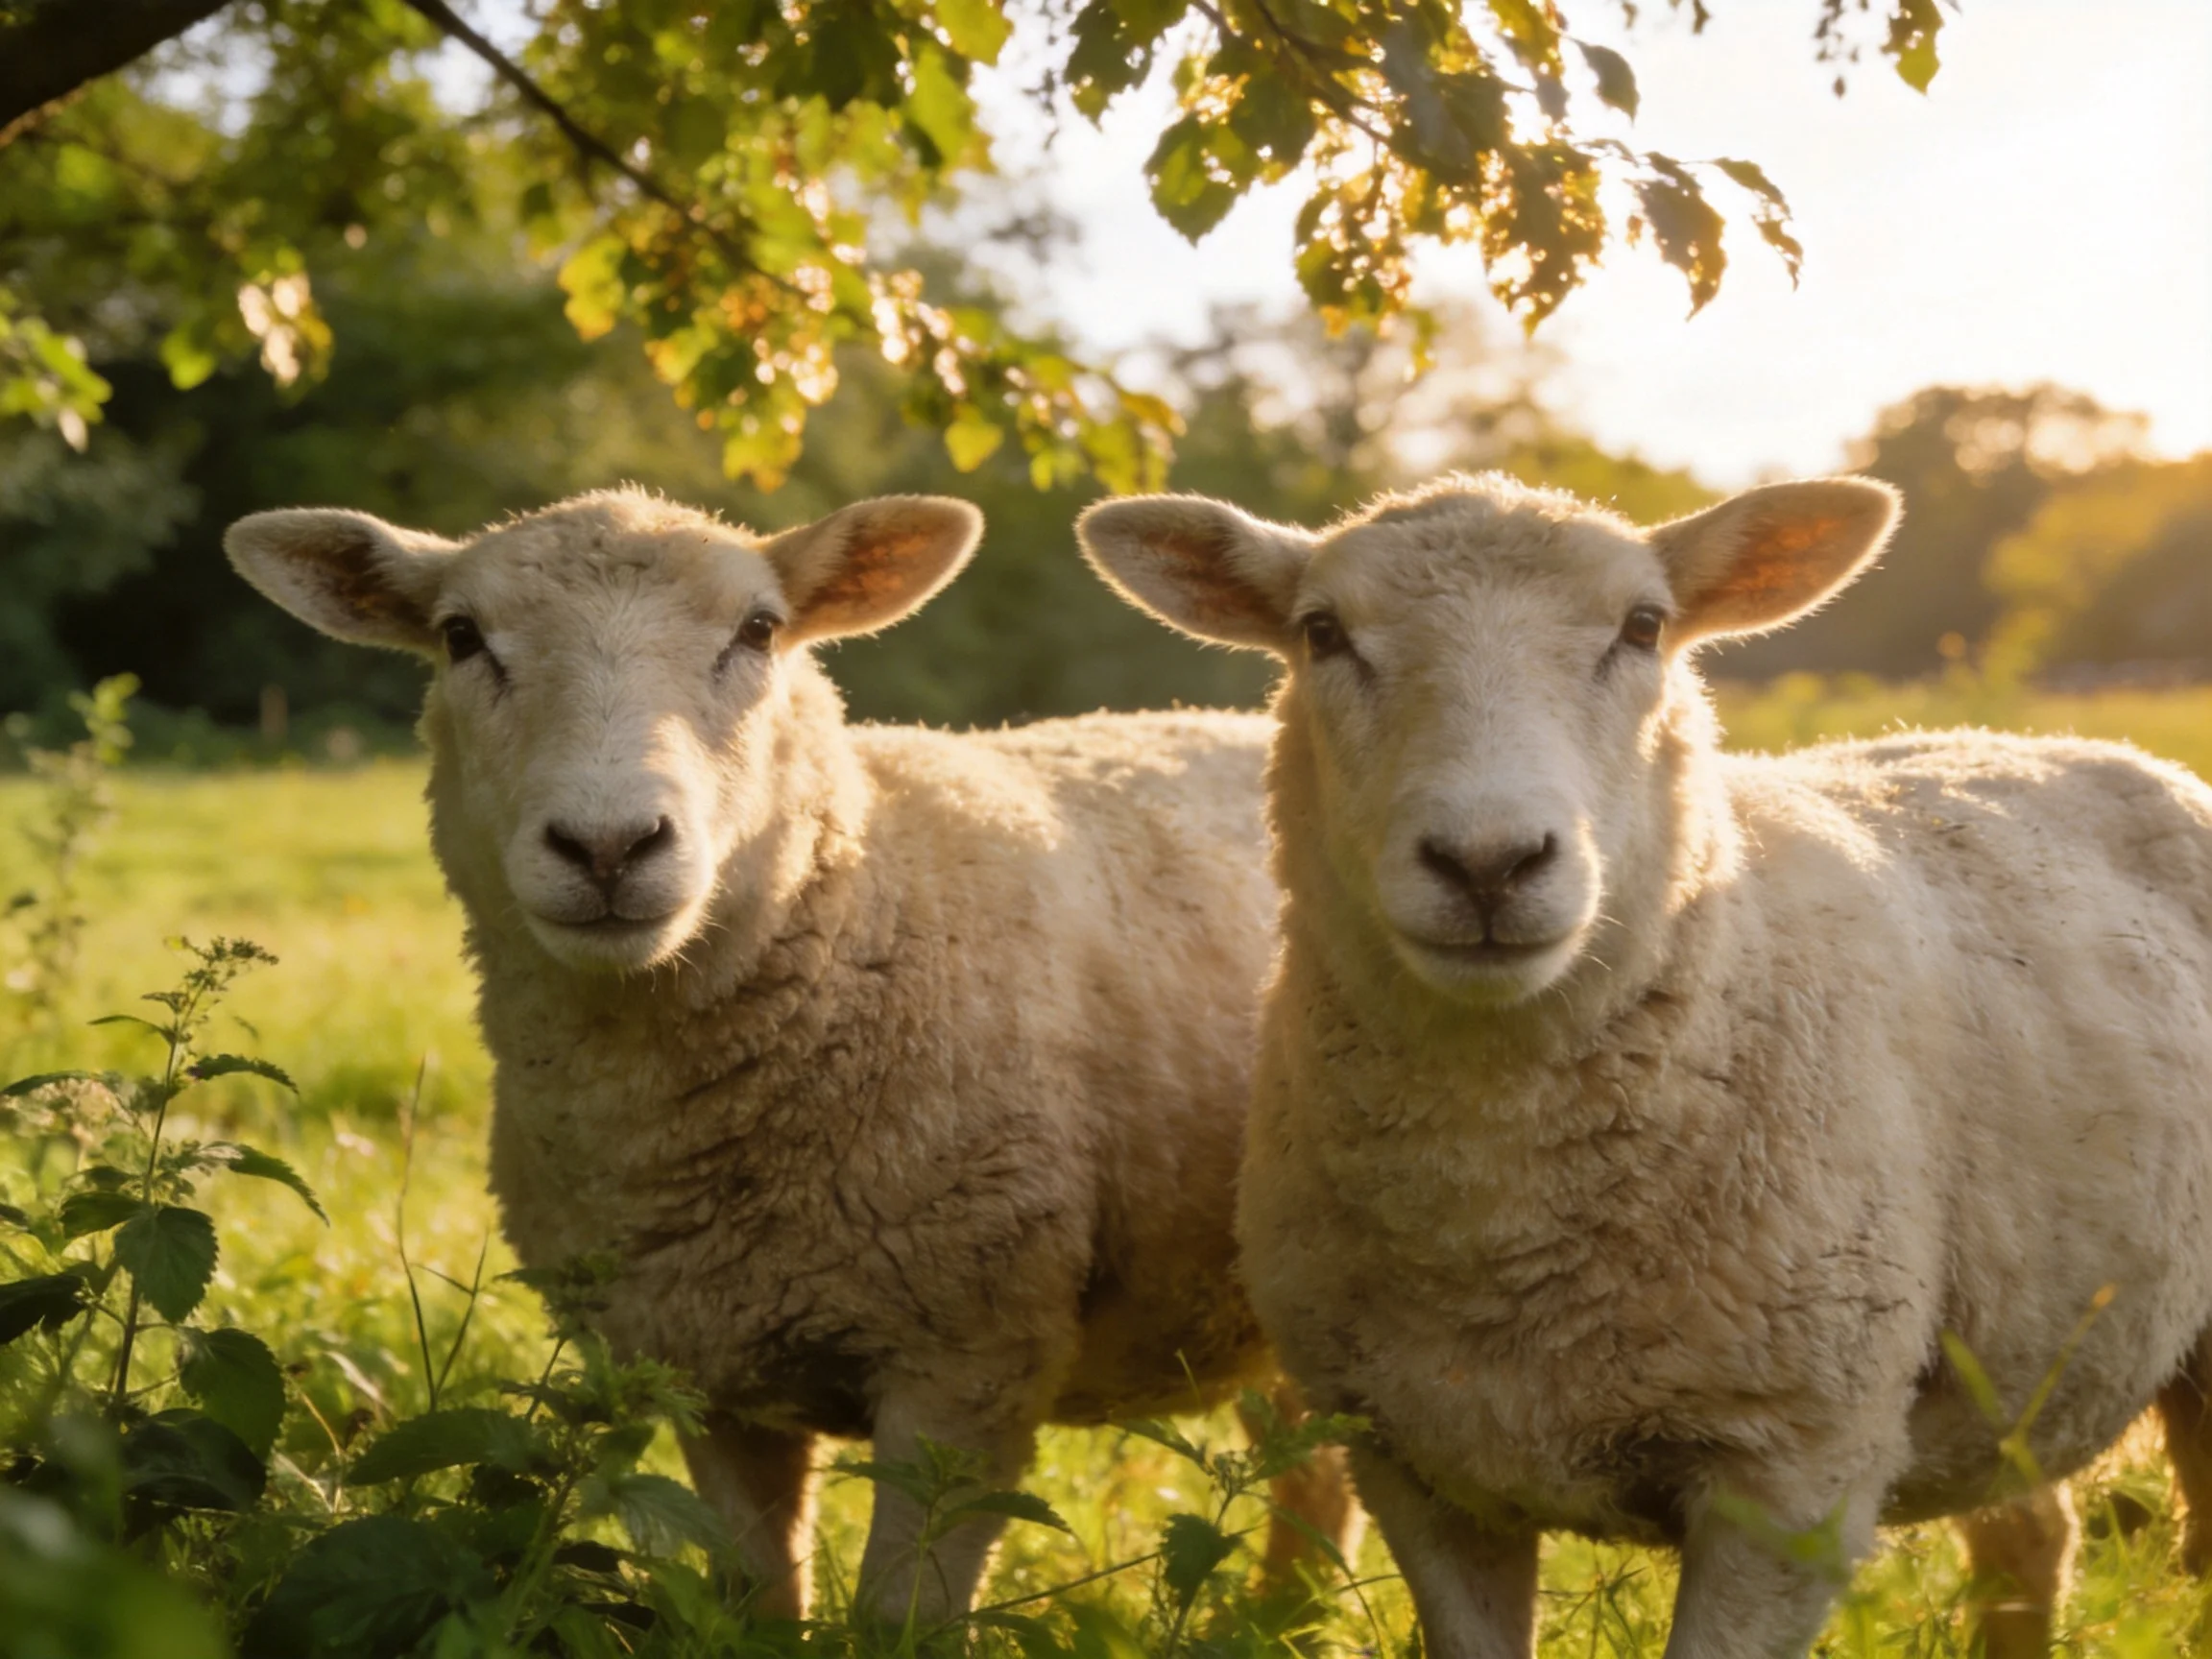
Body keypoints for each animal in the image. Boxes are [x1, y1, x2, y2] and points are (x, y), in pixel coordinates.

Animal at [225, 488, 1356, 1624]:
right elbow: (752, 1595)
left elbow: (902, 1617)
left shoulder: (971, 1361)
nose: (607, 847)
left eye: (759, 630)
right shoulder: (702, 1373)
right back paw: (1287, 1613)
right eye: (461, 637)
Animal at [1079, 472, 2212, 1658]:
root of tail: (2065, 741)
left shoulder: (1792, 1474)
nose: (1488, 862)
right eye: (1321, 632)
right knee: (2029, 1538)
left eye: (1643, 626)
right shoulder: (1411, 1463)